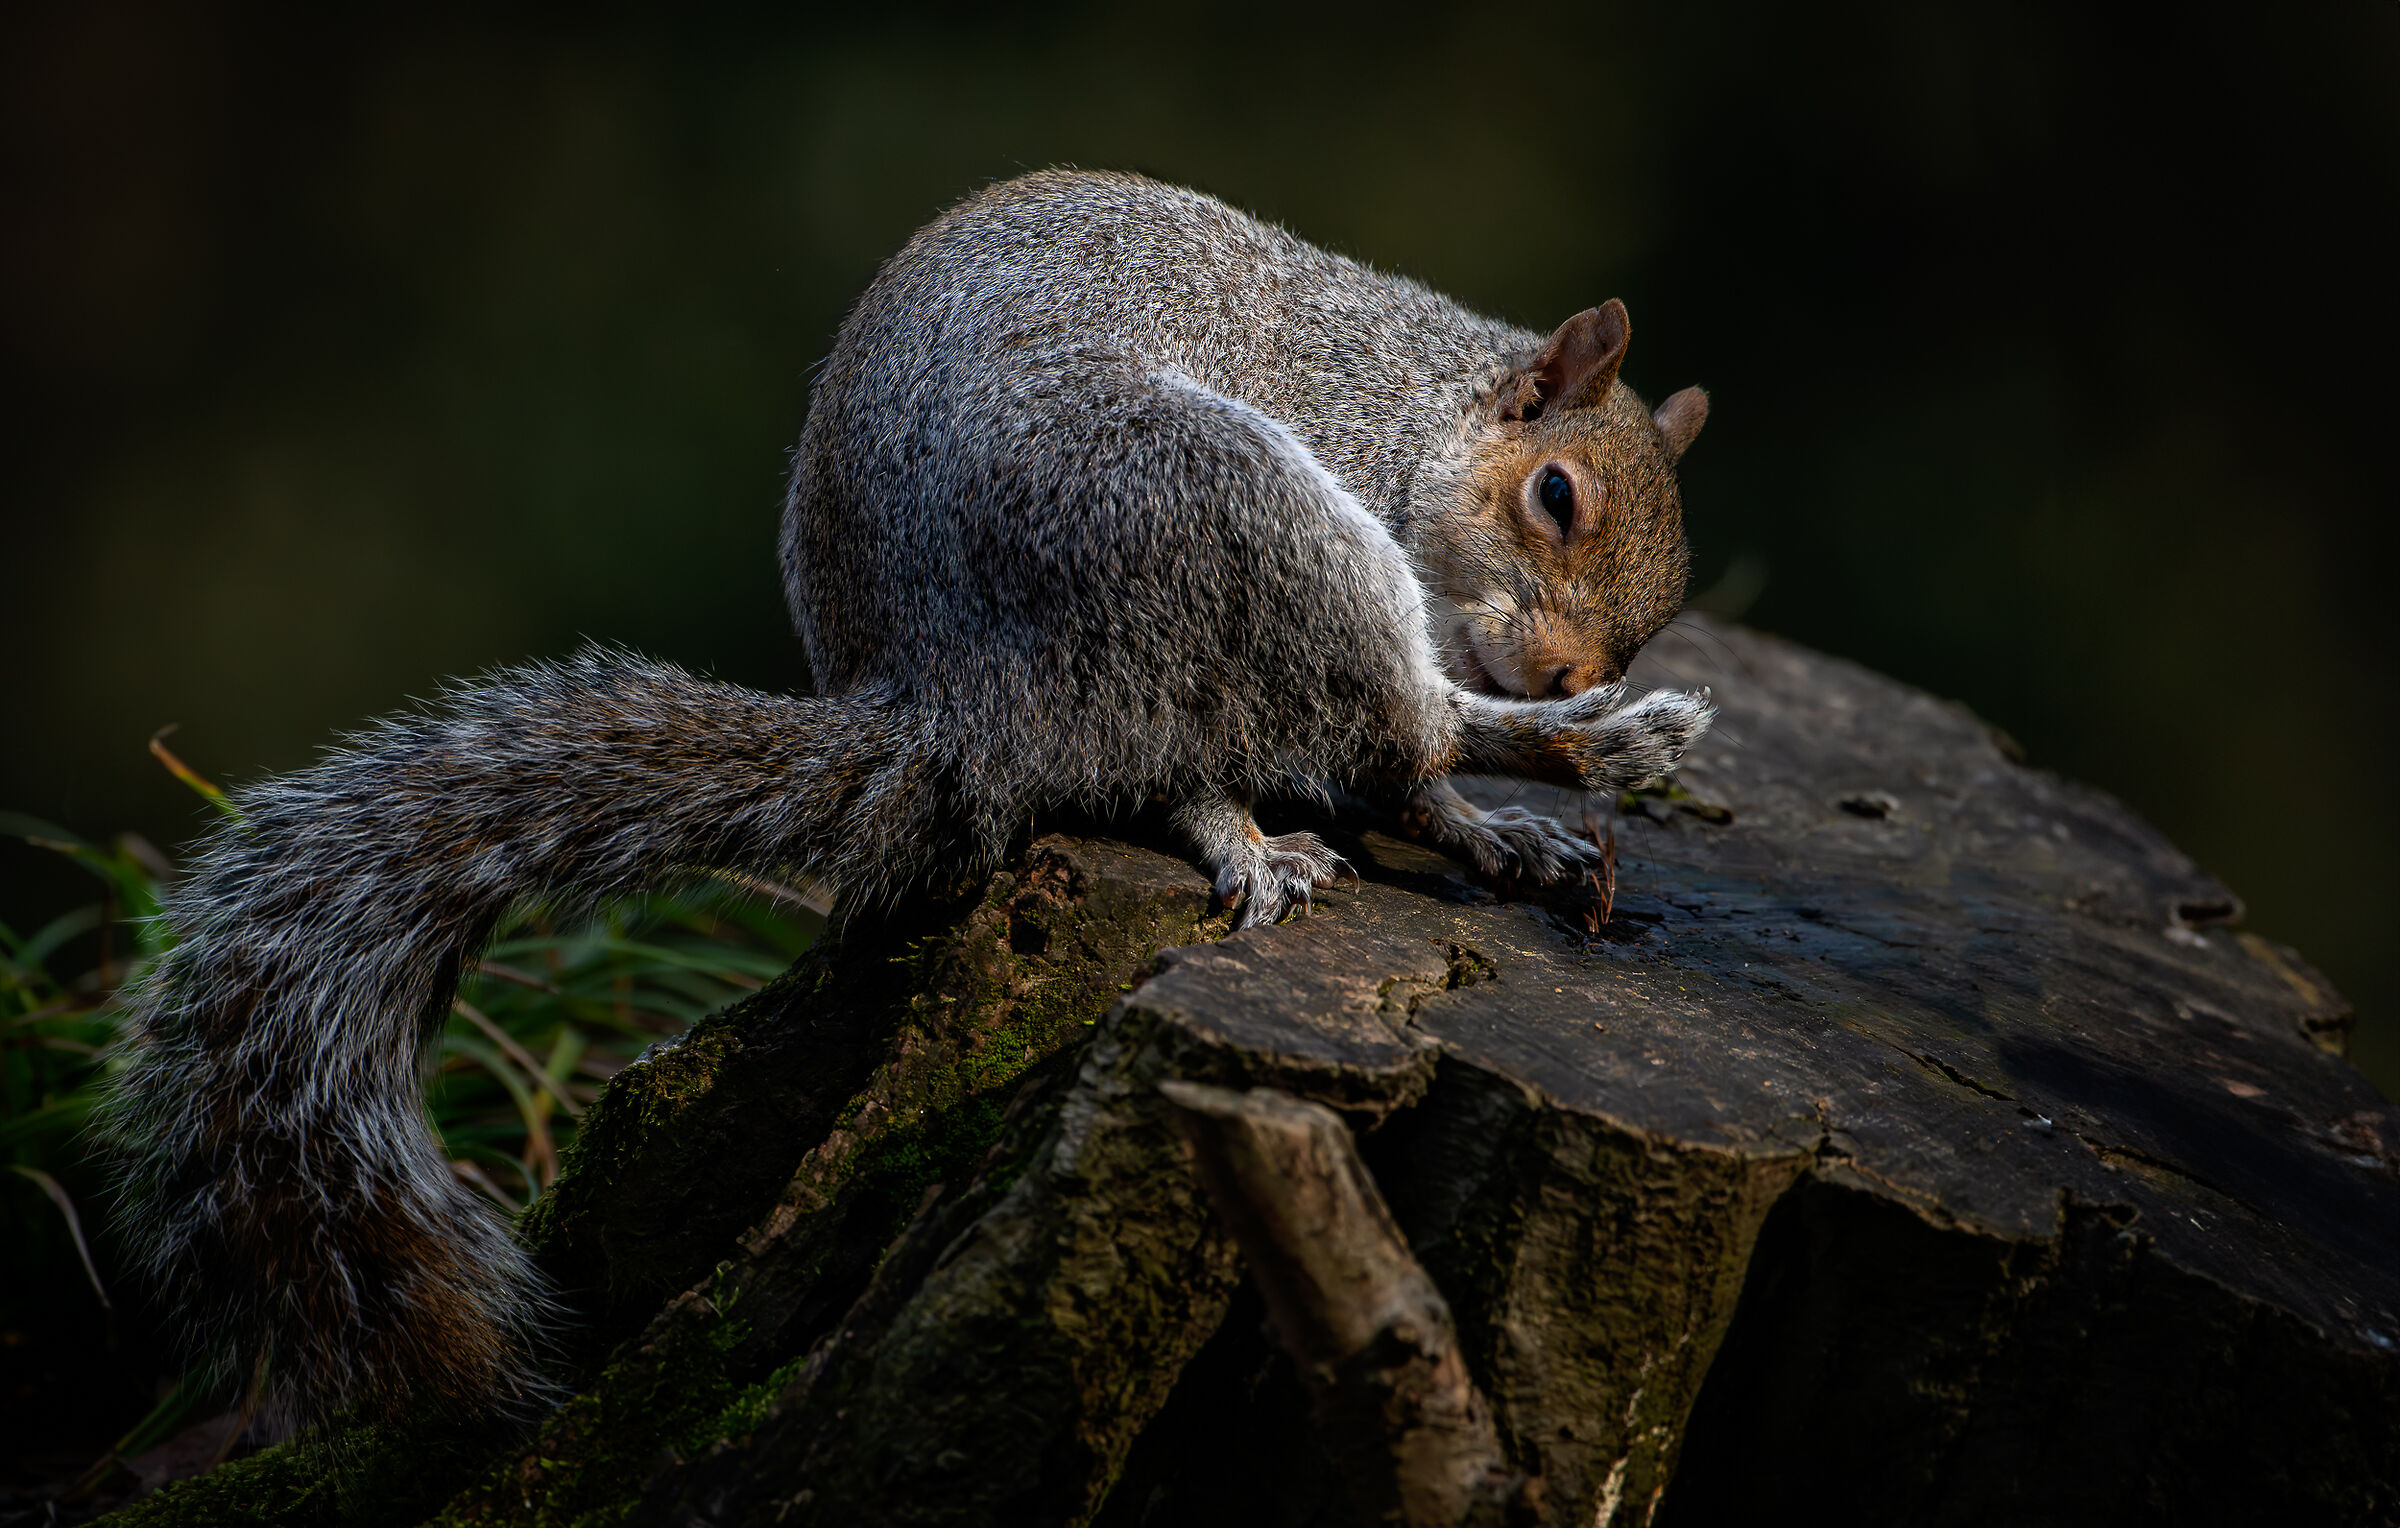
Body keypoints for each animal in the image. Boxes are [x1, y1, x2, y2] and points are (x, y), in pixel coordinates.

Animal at [96, 170, 1715, 1429]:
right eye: (1556, 496)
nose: (1576, 668)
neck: (1405, 396)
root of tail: (959, 705)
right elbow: (1398, 734)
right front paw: (1568, 735)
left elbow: (1393, 772)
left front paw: (1510, 797)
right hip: (1228, 509)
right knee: (1324, 730)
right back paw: (1562, 759)